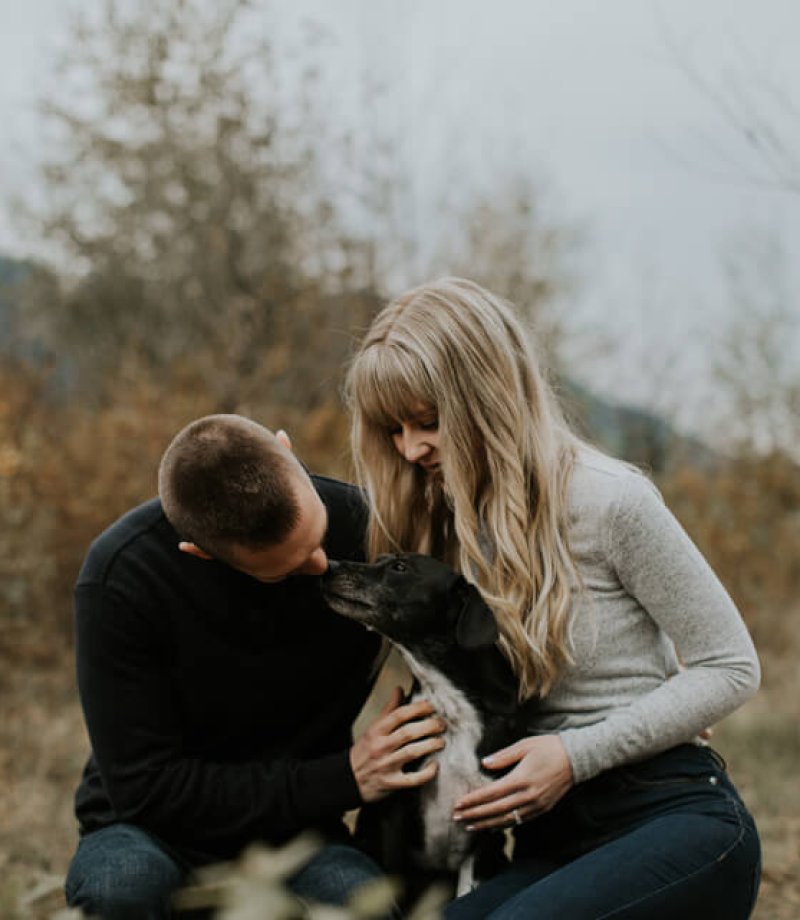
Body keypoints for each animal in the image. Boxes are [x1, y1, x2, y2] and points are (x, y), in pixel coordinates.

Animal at [320, 552, 524, 900]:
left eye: (400, 567)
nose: (328, 566)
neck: (450, 708)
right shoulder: (394, 813)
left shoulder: (487, 816)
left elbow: (467, 889)